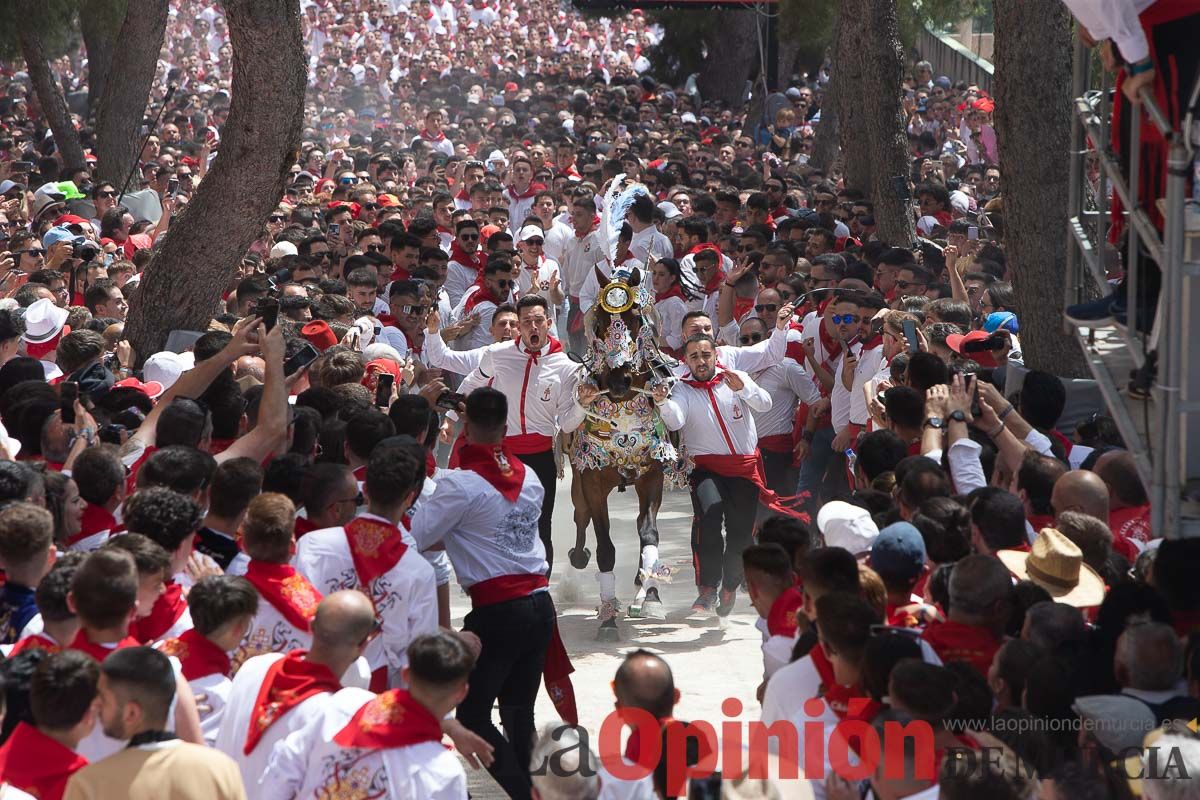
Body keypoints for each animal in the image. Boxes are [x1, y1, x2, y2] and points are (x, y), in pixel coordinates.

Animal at [564, 266, 686, 642]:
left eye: (635, 319)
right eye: (601, 323)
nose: (619, 381)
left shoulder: (652, 475)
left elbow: (649, 533)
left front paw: (652, 596)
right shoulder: (590, 479)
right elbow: (604, 546)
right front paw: (607, 618)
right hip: (578, 485)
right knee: (580, 518)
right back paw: (578, 555)